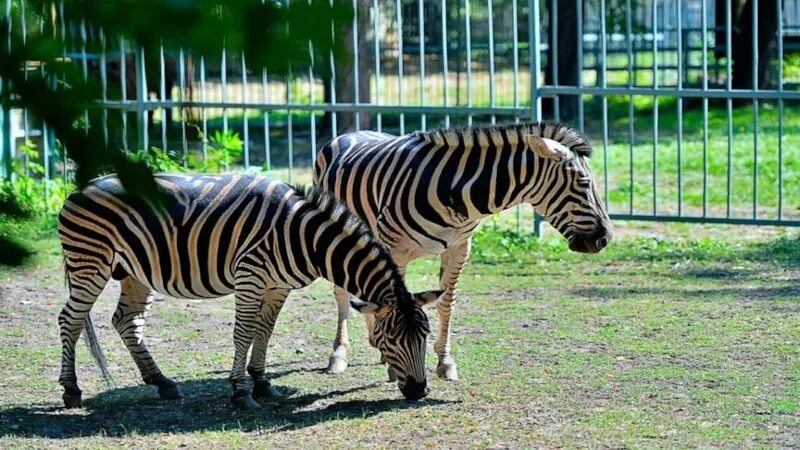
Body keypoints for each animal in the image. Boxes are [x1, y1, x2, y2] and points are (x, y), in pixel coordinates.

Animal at [56, 174, 444, 410]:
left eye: (425, 335)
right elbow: (243, 333)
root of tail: (81, 187)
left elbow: (265, 332)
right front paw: (241, 393)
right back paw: (72, 391)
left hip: (134, 272)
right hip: (90, 263)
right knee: (70, 320)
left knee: (127, 321)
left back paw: (163, 382)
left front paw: (261, 382)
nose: (420, 391)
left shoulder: (278, 285)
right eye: (391, 339)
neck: (306, 237)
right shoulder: (250, 276)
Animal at [314, 122, 612, 380]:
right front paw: (393, 364)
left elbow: (447, 302)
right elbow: (392, 304)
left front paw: (444, 362)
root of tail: (350, 132)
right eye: (583, 183)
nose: (605, 239)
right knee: (342, 293)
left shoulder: (459, 247)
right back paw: (339, 354)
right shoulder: (395, 247)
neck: (455, 191)